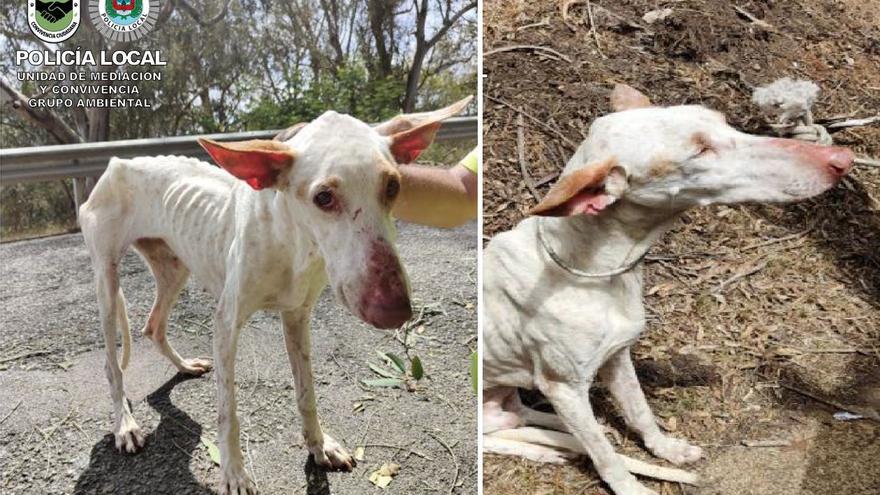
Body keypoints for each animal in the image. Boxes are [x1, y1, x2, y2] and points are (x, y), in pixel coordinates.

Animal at [79, 95, 470, 494]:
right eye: (323, 197)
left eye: (393, 186)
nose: (395, 310)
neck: (291, 240)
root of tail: (119, 162)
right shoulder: (226, 323)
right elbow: (228, 412)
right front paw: (234, 473)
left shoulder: (297, 316)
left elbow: (307, 394)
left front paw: (320, 446)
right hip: (107, 282)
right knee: (112, 364)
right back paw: (125, 425)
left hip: (174, 268)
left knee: (153, 325)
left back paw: (185, 366)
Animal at [482, 85, 852, 495]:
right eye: (701, 150)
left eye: (723, 122)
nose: (842, 159)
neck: (594, 268)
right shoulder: (563, 387)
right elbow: (605, 455)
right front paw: (630, 487)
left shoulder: (617, 356)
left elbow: (640, 412)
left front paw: (666, 449)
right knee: (506, 437)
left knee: (530, 418)